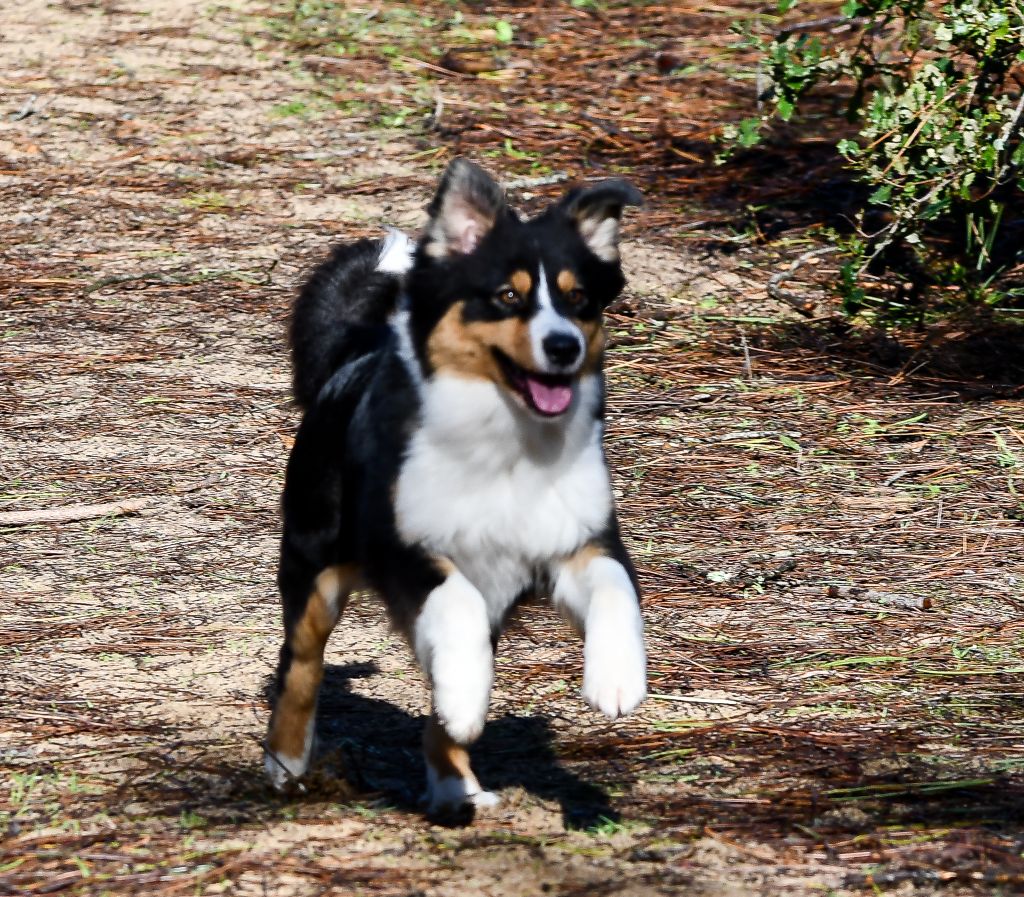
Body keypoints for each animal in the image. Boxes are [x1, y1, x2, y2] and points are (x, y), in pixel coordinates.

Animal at [268, 159, 643, 810]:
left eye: (578, 299)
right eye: (507, 296)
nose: (563, 347)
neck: (510, 447)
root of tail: (354, 350)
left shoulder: (578, 540)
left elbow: (616, 589)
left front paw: (616, 678)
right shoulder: (405, 545)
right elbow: (456, 600)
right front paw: (466, 701)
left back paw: (454, 785)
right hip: (313, 557)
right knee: (302, 663)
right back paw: (287, 762)